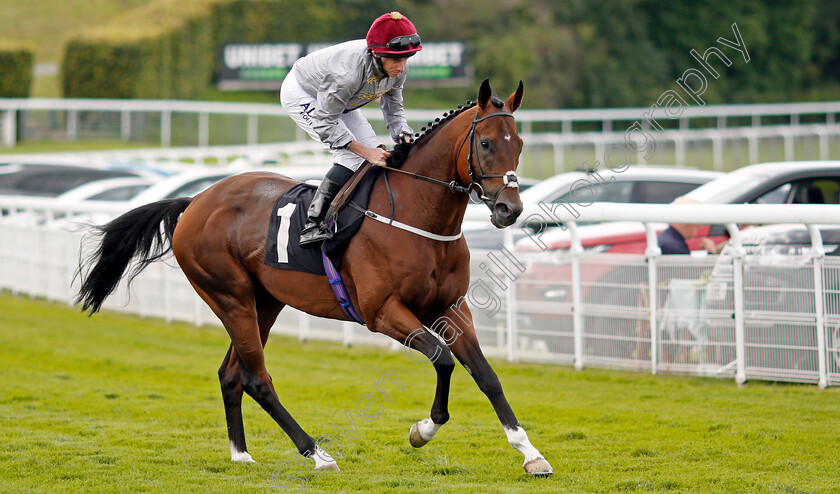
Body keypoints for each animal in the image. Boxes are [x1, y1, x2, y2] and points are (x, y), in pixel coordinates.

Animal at [77, 79, 552, 476]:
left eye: (519, 144)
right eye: (486, 143)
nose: (510, 209)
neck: (416, 216)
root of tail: (195, 201)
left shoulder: (452, 306)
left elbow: (487, 375)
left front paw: (530, 454)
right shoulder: (382, 312)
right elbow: (443, 358)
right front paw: (422, 431)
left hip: (264, 302)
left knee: (232, 373)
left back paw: (241, 454)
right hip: (229, 297)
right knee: (256, 378)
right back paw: (317, 453)